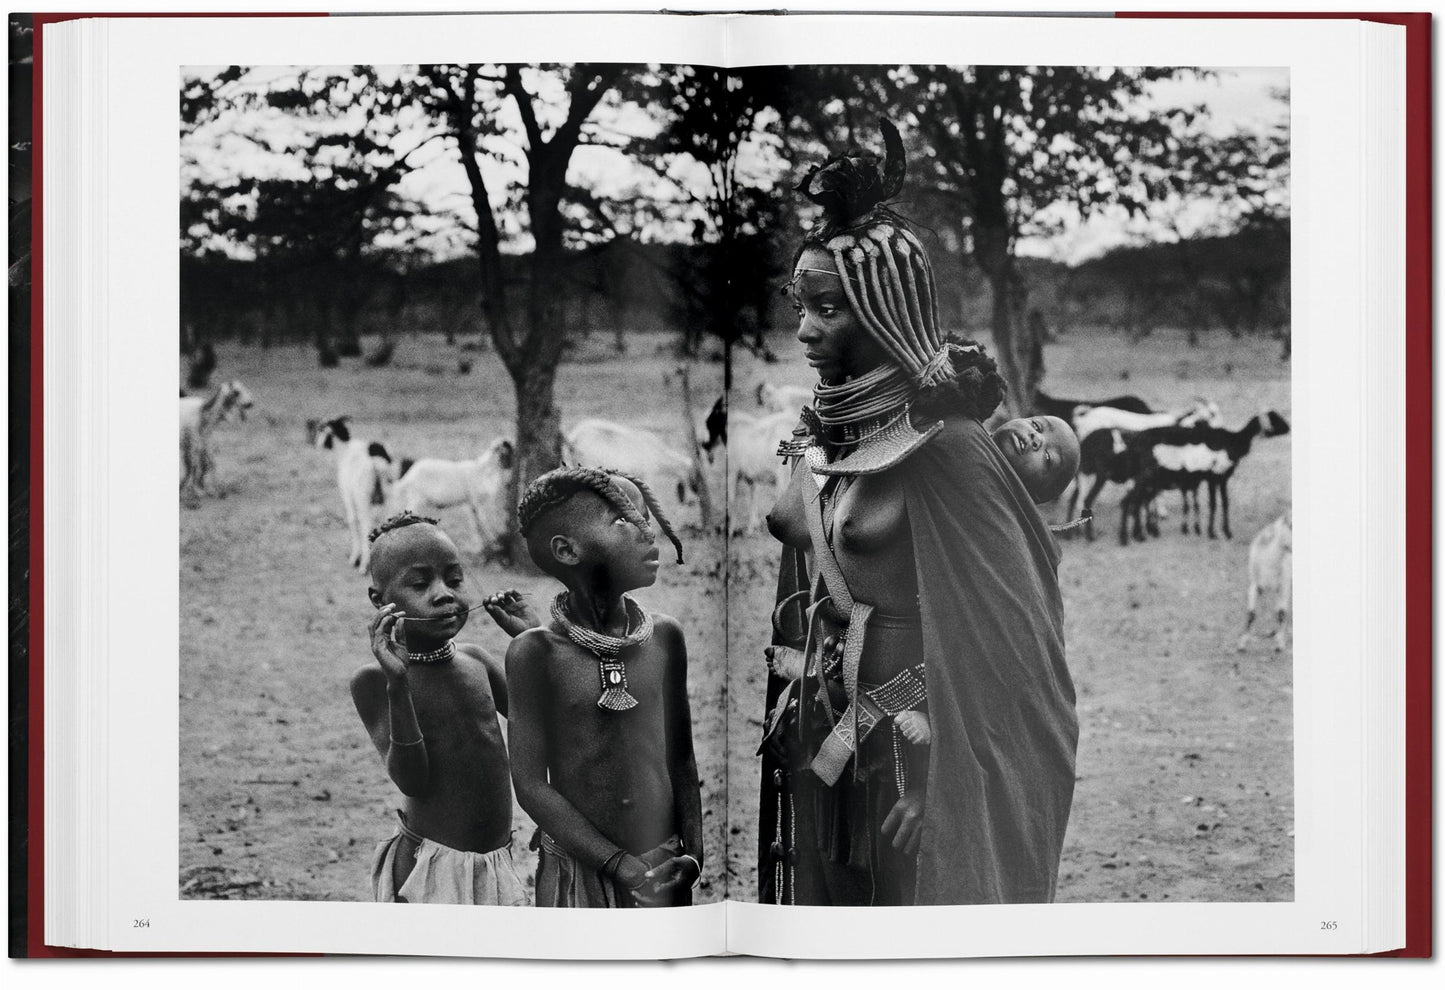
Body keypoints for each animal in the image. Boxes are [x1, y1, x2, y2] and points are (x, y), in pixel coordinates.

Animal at [312, 416, 398, 572]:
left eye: (323, 430)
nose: (317, 444)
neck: (344, 451)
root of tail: (375, 460)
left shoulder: (348, 497)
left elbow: (352, 520)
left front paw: (355, 559)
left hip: (363, 498)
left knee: (365, 524)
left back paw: (364, 564)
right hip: (390, 496)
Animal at [393, 433, 517, 563]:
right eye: (509, 450)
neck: (485, 471)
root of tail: (409, 476)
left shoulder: (470, 503)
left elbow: (476, 524)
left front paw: (480, 546)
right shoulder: (477, 501)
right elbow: (482, 523)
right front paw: (489, 544)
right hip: (417, 497)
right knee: (406, 511)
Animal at [1115, 410, 1300, 549]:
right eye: (1275, 418)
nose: (1289, 427)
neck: (1234, 440)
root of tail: (1134, 443)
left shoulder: (1222, 478)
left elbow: (1225, 503)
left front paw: (1226, 532)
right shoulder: (1213, 477)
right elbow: (1213, 504)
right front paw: (1212, 533)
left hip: (1145, 478)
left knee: (1135, 502)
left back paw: (1139, 534)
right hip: (1145, 476)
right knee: (1129, 502)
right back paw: (1125, 538)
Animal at [1236, 508, 1294, 656]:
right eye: (1291, 525)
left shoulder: (1284, 586)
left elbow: (1281, 613)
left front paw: (1279, 645)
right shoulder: (1255, 585)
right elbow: (1251, 614)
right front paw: (1241, 645)